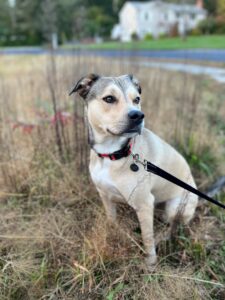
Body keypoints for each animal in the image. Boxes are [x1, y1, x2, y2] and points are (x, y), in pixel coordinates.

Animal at [69, 74, 198, 268]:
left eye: (136, 99)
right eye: (109, 98)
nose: (138, 116)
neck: (113, 154)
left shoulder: (144, 204)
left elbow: (147, 238)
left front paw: (151, 263)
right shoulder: (104, 195)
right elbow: (111, 219)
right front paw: (112, 233)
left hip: (176, 207)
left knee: (174, 226)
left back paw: (163, 236)